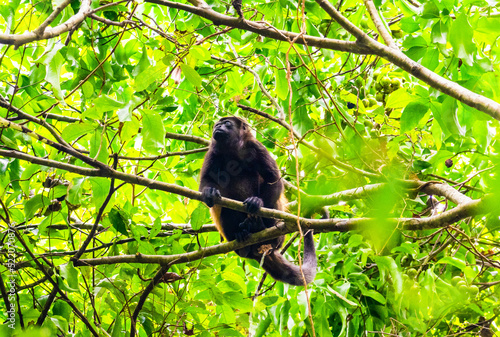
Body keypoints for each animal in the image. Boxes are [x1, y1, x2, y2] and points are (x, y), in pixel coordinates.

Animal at [199, 117, 316, 284]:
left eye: (227, 123)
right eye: (217, 124)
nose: (218, 126)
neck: (232, 150)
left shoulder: (256, 147)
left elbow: (273, 179)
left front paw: (257, 205)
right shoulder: (213, 152)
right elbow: (206, 180)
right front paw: (209, 192)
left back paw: (261, 228)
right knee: (228, 210)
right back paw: (241, 238)